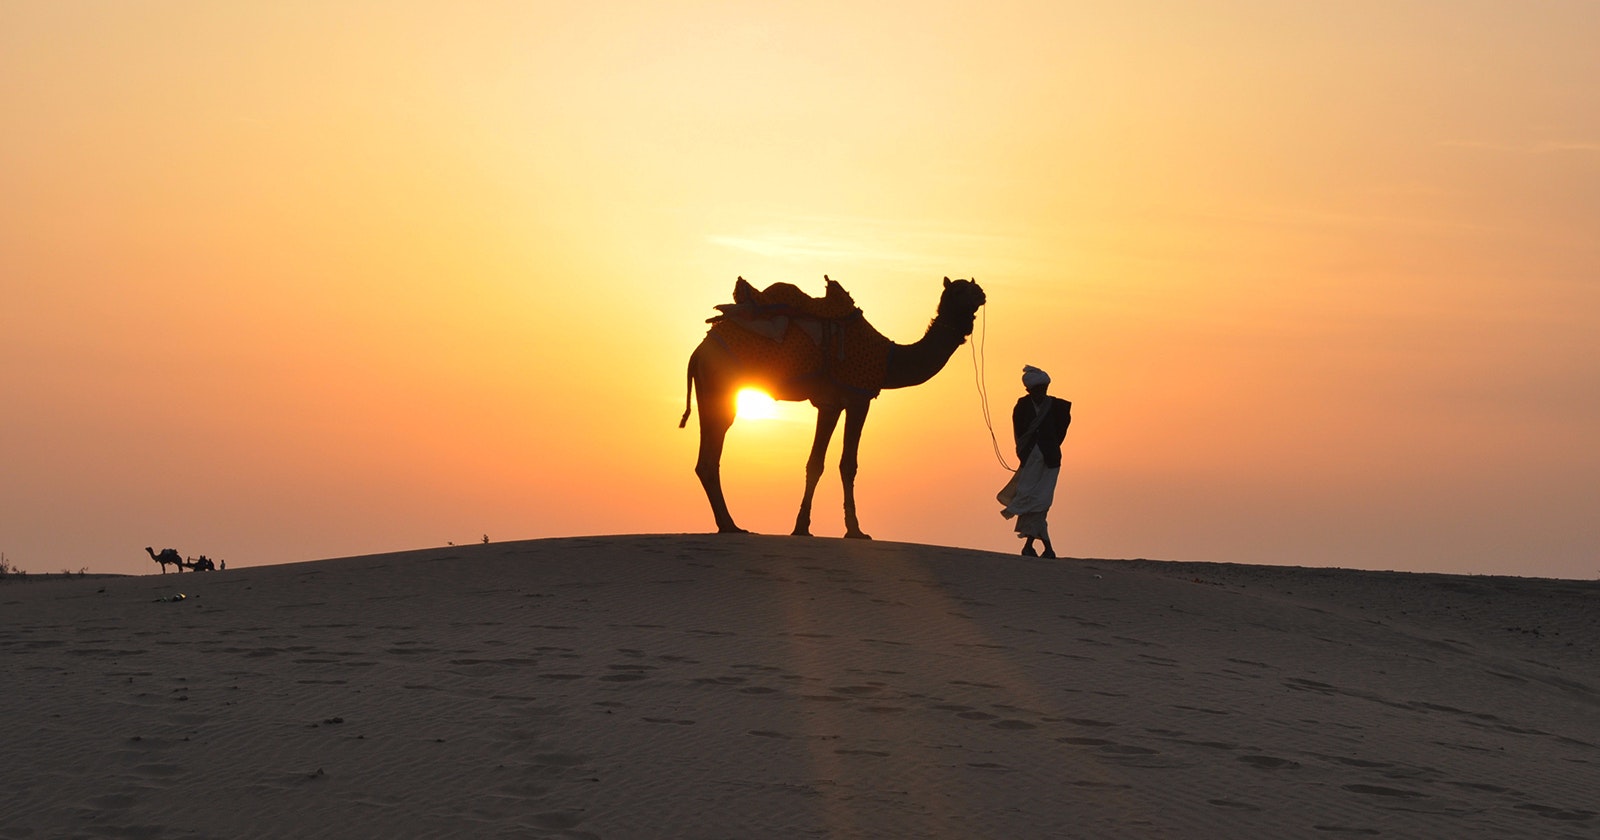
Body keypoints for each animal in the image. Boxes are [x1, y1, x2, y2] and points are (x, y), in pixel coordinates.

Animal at [678, 275, 979, 537]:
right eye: (959, 291)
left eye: (974, 288)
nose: (982, 294)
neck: (890, 360)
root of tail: (697, 353)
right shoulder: (859, 398)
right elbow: (848, 464)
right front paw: (855, 531)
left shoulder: (830, 404)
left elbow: (815, 463)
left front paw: (802, 528)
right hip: (721, 389)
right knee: (711, 455)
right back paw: (731, 525)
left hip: (709, 391)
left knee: (706, 460)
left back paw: (728, 525)